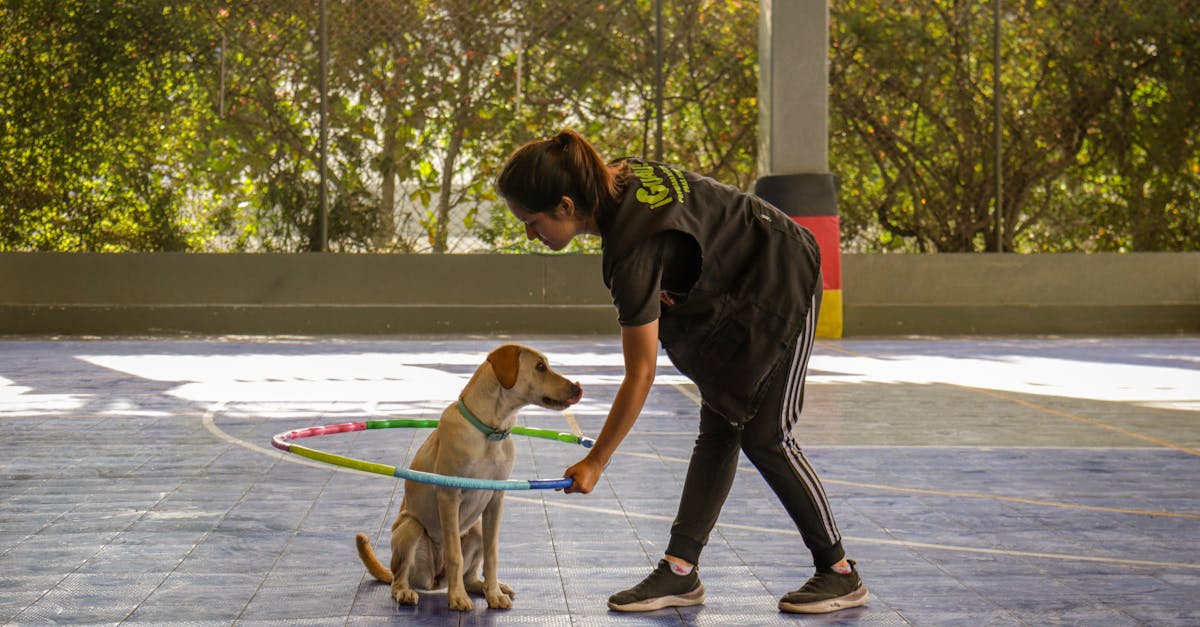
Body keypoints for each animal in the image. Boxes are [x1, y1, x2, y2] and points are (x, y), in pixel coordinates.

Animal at [352, 343, 583, 607]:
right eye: (540, 367)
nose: (577, 388)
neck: (491, 431)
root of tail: (435, 581)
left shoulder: (495, 499)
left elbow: (492, 554)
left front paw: (494, 594)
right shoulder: (449, 496)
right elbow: (455, 554)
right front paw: (457, 597)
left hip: (476, 528)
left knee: (470, 576)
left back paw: (489, 587)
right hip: (411, 528)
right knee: (399, 577)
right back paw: (405, 591)